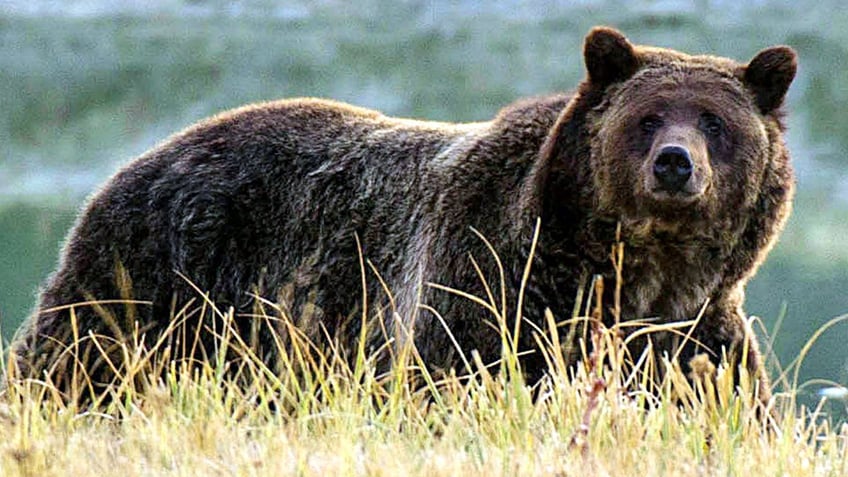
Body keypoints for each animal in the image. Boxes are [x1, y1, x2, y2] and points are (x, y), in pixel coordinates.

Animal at [10, 27, 796, 406]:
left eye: (716, 121)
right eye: (648, 116)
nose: (675, 163)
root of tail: (139, 157)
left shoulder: (692, 333)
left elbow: (715, 401)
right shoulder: (490, 287)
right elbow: (456, 381)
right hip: (155, 279)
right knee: (71, 359)